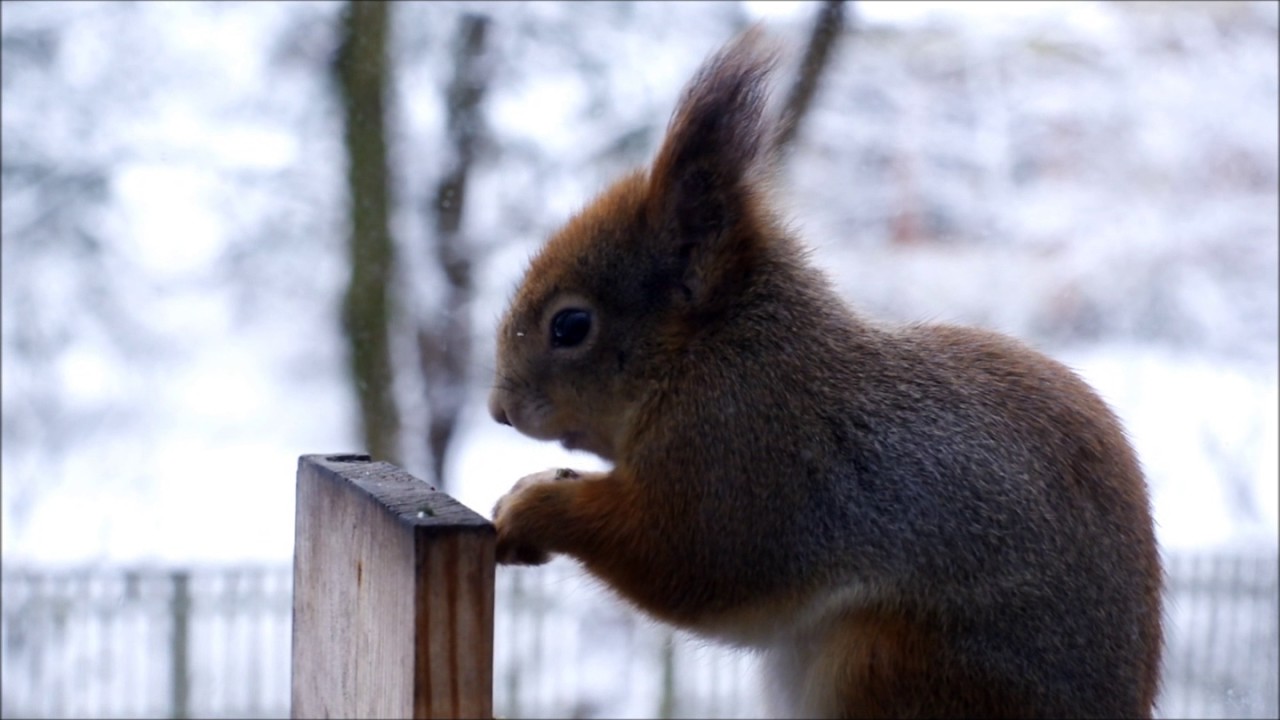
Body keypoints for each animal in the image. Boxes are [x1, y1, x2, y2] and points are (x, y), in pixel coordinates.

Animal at [487, 27, 1163, 719]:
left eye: (570, 326)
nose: (499, 409)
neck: (715, 351)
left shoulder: (745, 453)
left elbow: (689, 557)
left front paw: (536, 506)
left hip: (897, 667)